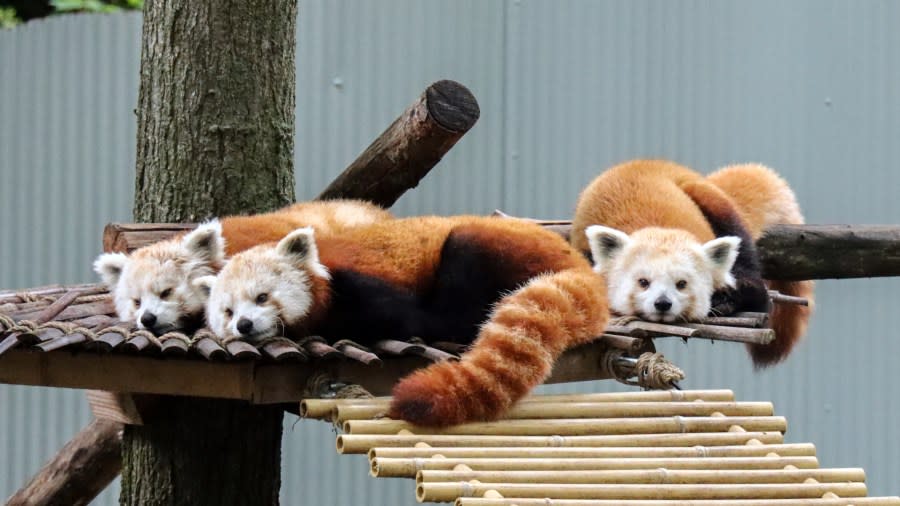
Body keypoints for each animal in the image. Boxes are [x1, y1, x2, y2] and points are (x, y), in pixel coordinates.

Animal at [201, 215, 612, 424]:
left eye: (261, 297)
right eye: (228, 312)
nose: (244, 326)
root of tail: (576, 263)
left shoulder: (356, 284)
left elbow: (405, 318)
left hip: (494, 247)